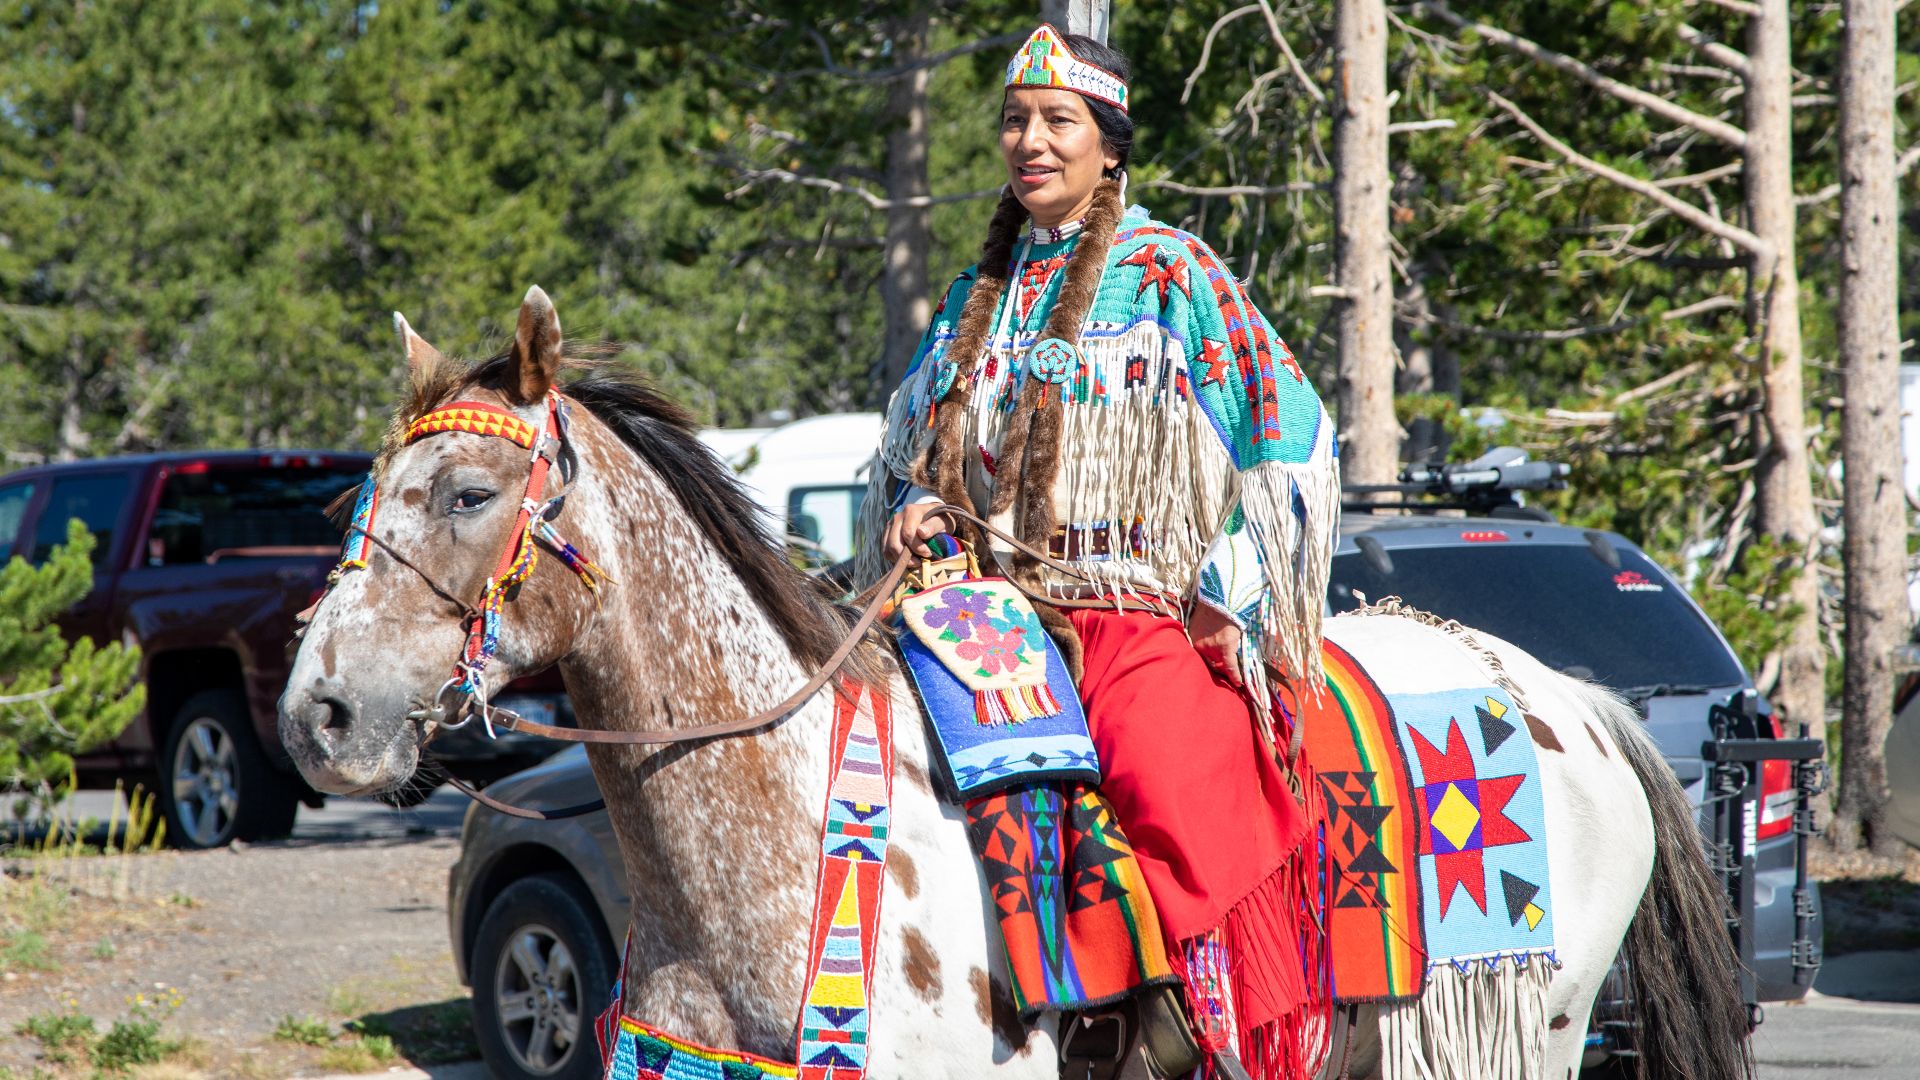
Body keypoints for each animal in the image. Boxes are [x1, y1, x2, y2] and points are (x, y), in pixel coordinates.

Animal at [280, 287, 1751, 1080]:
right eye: (362, 495)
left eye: (469, 494)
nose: (319, 714)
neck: (781, 829)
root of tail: (1574, 699)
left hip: (1520, 1029)